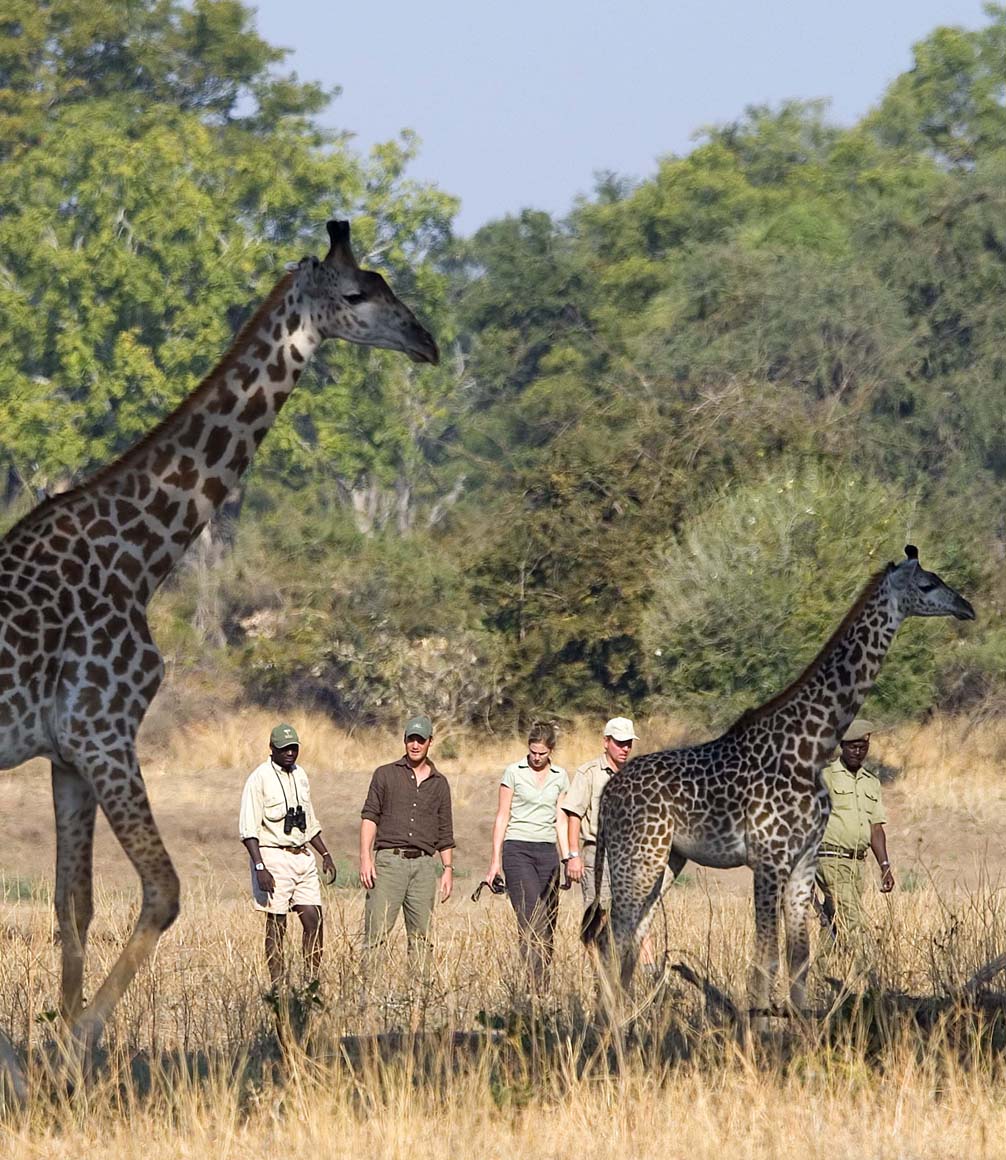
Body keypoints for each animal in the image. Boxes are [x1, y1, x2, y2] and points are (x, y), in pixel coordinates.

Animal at [0, 219, 438, 1062]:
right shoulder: (104, 729)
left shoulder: (68, 751)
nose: (426, 341)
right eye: (358, 293)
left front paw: (59, 1041)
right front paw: (79, 1041)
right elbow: (163, 892)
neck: (139, 556)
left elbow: (75, 905)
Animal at [582, 547, 974, 1011]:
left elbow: (799, 958)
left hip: (666, 861)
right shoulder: (769, 858)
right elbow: (765, 959)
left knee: (626, 936)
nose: (966, 607)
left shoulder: (804, 859)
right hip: (637, 856)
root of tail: (608, 793)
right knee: (612, 936)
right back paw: (610, 1023)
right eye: (928, 585)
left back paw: (627, 1019)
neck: (812, 746)